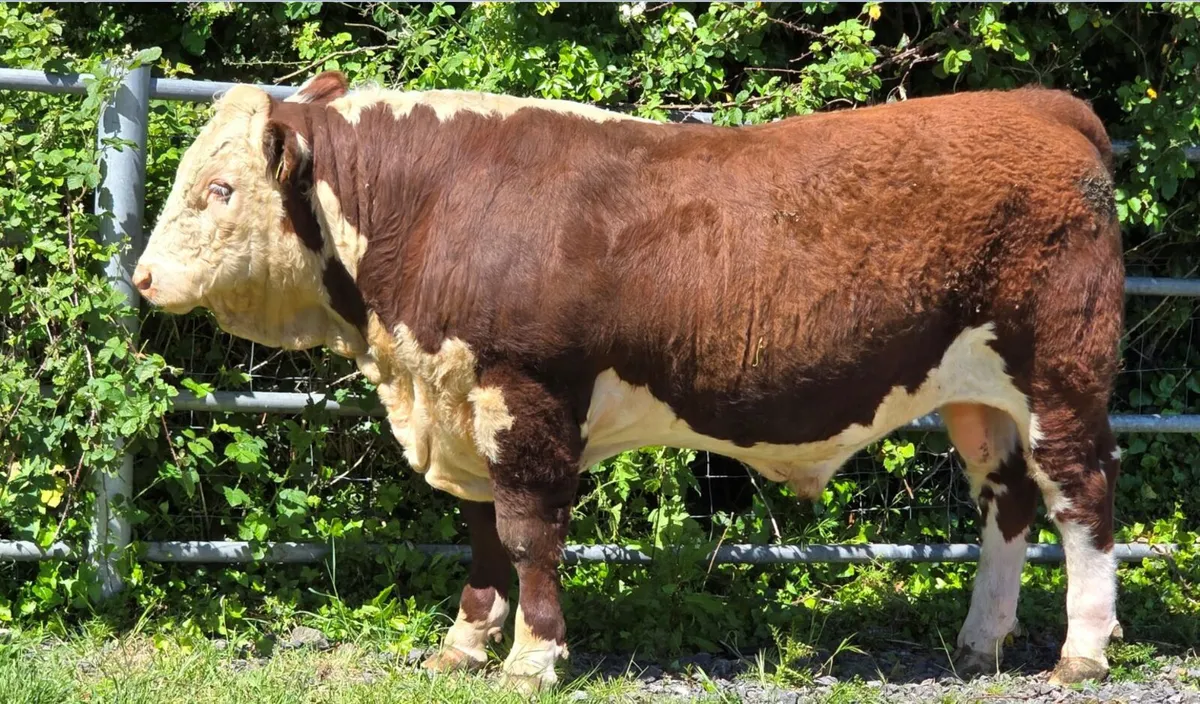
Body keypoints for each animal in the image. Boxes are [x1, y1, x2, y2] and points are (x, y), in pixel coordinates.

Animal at [133, 71, 1125, 692]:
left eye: (220, 190)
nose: (141, 277)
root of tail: (1040, 105)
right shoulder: (460, 402)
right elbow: (481, 534)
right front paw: (464, 647)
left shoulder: (525, 395)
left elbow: (528, 534)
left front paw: (533, 658)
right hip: (975, 396)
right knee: (1007, 502)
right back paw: (979, 643)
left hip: (1060, 374)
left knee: (1082, 498)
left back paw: (1080, 654)